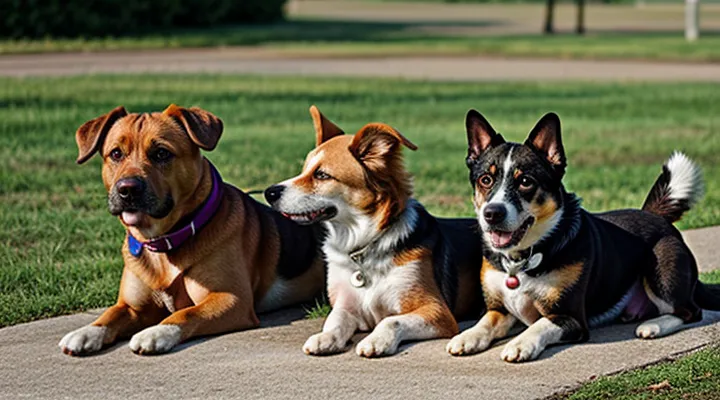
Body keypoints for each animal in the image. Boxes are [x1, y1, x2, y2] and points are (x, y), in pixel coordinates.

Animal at [59, 104, 324, 354]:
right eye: (115, 153)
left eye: (161, 153)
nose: (127, 189)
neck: (165, 241)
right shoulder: (133, 307)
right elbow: (111, 314)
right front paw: (87, 331)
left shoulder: (231, 300)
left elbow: (185, 313)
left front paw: (156, 332)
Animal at [264, 105, 484, 356]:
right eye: (304, 170)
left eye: (322, 175)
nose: (269, 192)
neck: (364, 244)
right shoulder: (347, 306)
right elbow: (335, 320)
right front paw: (326, 337)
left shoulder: (437, 312)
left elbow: (390, 320)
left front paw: (377, 340)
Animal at [448, 109, 716, 362]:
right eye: (485, 179)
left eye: (525, 181)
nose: (492, 213)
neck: (528, 255)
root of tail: (655, 216)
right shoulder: (500, 309)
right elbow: (486, 321)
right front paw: (466, 336)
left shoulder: (570, 316)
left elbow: (539, 324)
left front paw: (520, 344)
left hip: (662, 275)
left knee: (690, 311)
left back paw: (654, 325)